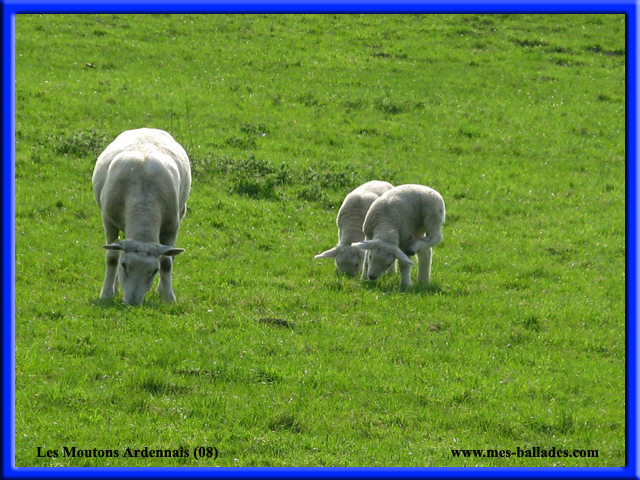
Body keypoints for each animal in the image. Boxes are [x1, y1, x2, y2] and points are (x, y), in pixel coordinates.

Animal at [92, 127, 191, 306]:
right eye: (124, 265)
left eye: (154, 270)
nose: (132, 303)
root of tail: (147, 129)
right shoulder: (108, 221)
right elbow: (112, 257)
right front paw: (107, 294)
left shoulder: (172, 226)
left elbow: (167, 262)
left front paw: (168, 297)